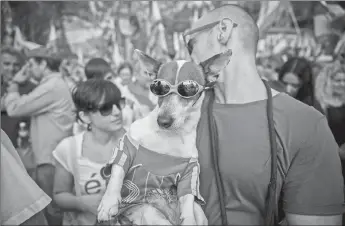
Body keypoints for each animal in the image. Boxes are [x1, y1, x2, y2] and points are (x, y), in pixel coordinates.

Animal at [96, 49, 231, 224]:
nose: (163, 121)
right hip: (148, 212)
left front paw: (188, 219)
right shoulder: (127, 145)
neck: (170, 136)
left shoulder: (190, 173)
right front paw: (108, 204)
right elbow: (116, 175)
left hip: (199, 213)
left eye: (189, 89)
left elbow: (188, 202)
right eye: (159, 87)